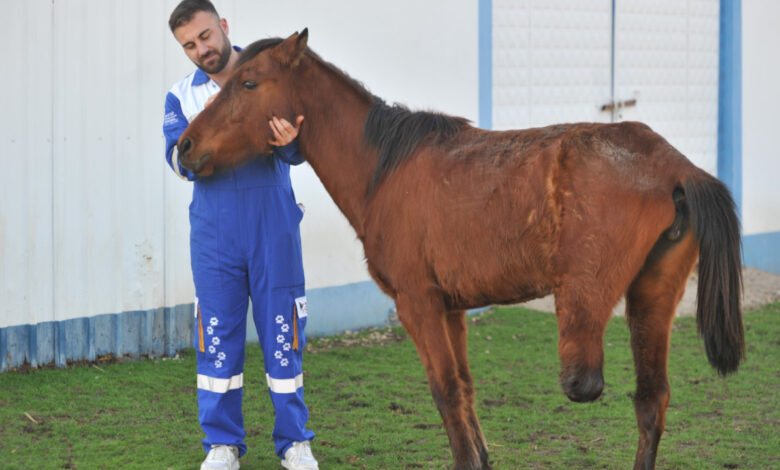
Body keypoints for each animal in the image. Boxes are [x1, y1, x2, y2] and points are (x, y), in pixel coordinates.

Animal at [177, 31, 744, 468]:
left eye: (248, 83)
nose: (184, 146)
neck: (385, 168)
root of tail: (673, 164)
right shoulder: (451, 310)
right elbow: (466, 389)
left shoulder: (419, 305)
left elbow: (446, 391)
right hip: (652, 297)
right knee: (651, 399)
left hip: (587, 307)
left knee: (593, 384)